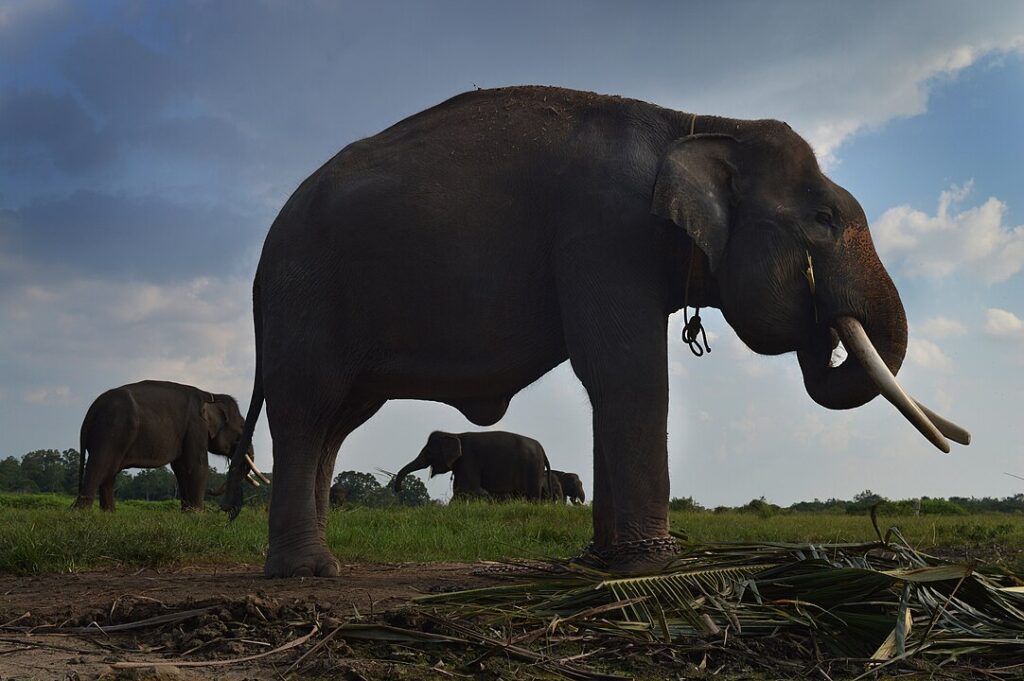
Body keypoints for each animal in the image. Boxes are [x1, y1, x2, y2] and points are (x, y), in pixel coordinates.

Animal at [74, 376, 264, 509]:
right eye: (243, 428)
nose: (211, 492)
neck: (211, 395)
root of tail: (91, 411)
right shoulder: (196, 426)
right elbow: (196, 466)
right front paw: (197, 516)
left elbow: (181, 469)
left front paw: (188, 514)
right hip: (110, 431)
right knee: (100, 466)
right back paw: (82, 514)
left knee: (109, 473)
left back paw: (109, 514)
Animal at [389, 430, 552, 499]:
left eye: (428, 452)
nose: (399, 489)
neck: (455, 434)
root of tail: (542, 449)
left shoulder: (469, 461)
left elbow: (466, 489)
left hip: (532, 469)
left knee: (531, 495)